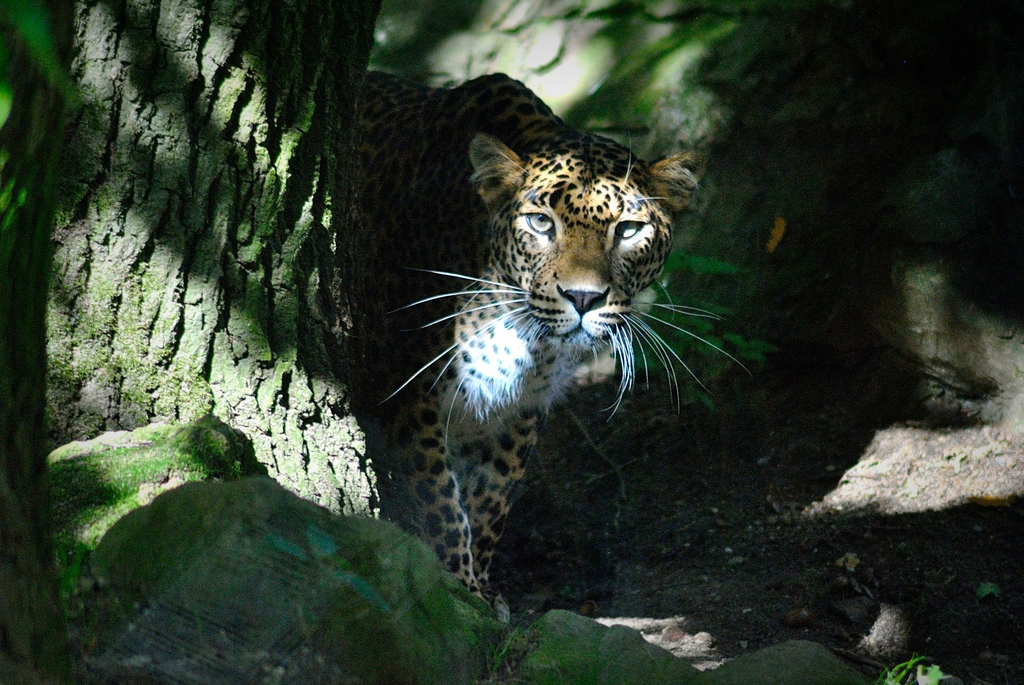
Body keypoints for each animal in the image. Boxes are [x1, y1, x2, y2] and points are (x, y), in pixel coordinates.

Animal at [354, 71, 702, 610]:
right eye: (541, 223)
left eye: (628, 230)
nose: (583, 297)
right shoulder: (405, 387)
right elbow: (435, 495)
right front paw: (456, 587)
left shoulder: (522, 405)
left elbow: (491, 497)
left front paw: (479, 585)